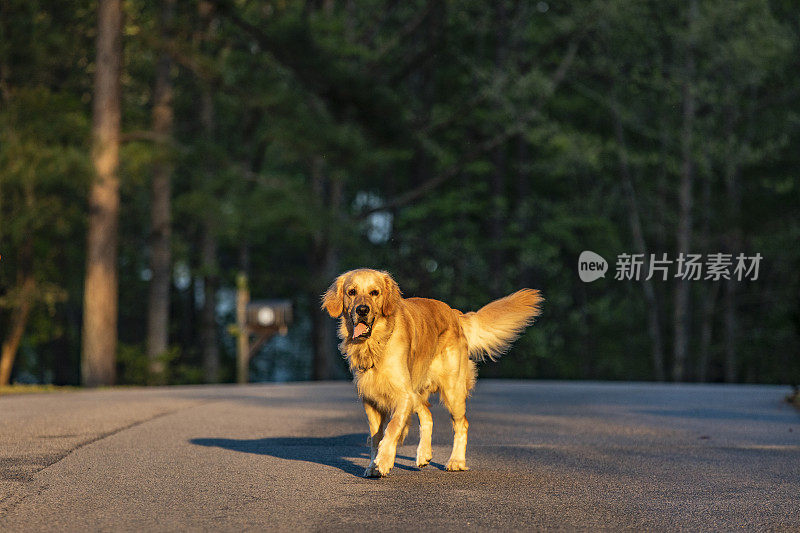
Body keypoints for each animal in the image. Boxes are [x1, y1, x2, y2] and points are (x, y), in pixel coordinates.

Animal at [320, 268, 544, 476]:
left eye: (375, 292)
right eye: (351, 292)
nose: (362, 310)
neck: (377, 343)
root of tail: (454, 313)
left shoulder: (403, 394)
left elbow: (392, 427)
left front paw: (383, 461)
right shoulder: (371, 398)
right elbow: (376, 437)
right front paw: (374, 465)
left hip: (452, 391)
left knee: (462, 424)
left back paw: (456, 461)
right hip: (419, 389)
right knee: (427, 414)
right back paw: (424, 454)